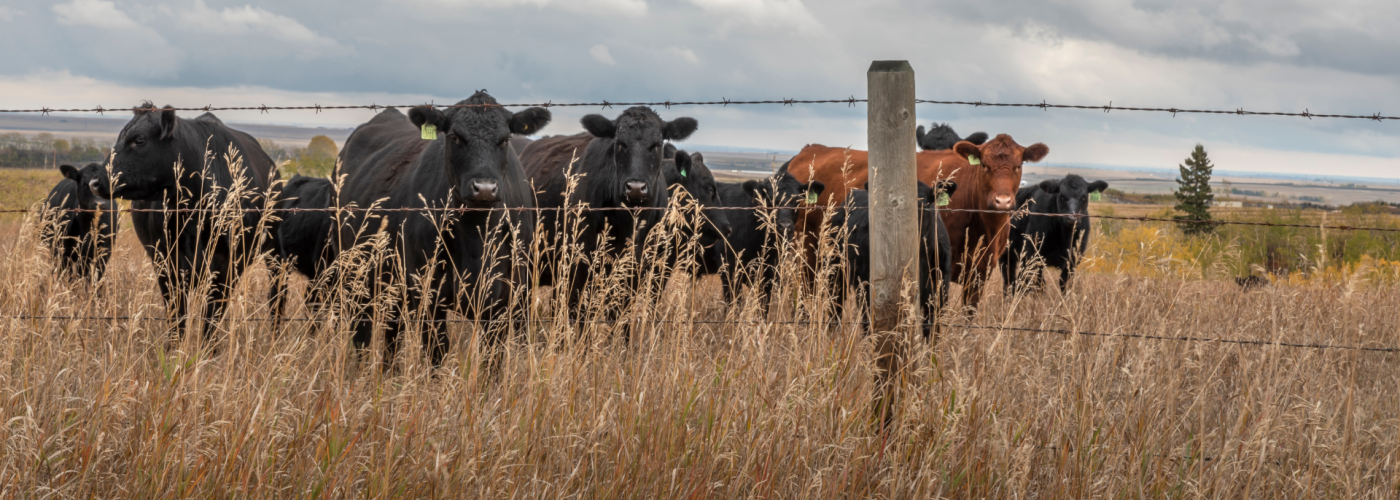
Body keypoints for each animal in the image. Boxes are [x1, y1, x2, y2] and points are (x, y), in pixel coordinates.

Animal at [95, 103, 279, 341]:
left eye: (140, 140)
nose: (95, 181)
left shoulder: (227, 266)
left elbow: (211, 319)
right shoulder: (166, 263)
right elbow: (177, 318)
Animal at [336, 92, 550, 368]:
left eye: (505, 139)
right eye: (455, 137)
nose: (484, 188)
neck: (475, 236)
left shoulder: (506, 297)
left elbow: (493, 357)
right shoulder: (428, 294)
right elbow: (437, 351)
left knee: (392, 334)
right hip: (356, 275)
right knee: (363, 332)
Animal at [522, 107, 698, 328]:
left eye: (657, 144)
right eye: (619, 143)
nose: (636, 187)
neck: (629, 224)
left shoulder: (637, 271)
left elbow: (621, 320)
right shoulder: (578, 266)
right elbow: (578, 317)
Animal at [785, 133, 1048, 310]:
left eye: (1018, 165)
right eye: (984, 164)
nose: (1002, 201)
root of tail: (810, 150)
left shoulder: (979, 272)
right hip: (809, 251)